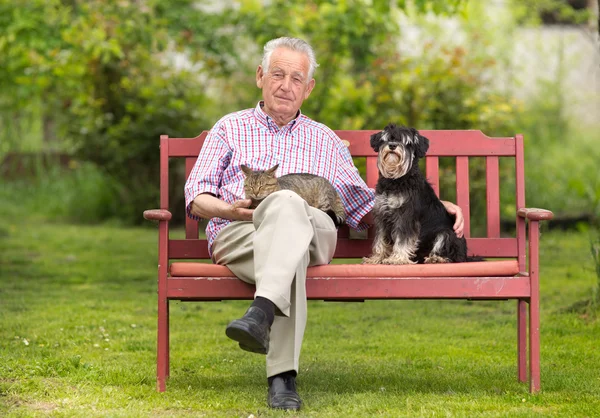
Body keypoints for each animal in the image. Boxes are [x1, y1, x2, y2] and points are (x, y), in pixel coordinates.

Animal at [360, 122, 468, 264]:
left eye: (407, 143)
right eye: (387, 139)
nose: (392, 145)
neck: (396, 181)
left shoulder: (406, 215)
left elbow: (402, 239)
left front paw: (397, 259)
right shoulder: (382, 214)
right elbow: (380, 239)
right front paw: (377, 257)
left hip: (446, 233)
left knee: (450, 254)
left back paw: (436, 259)